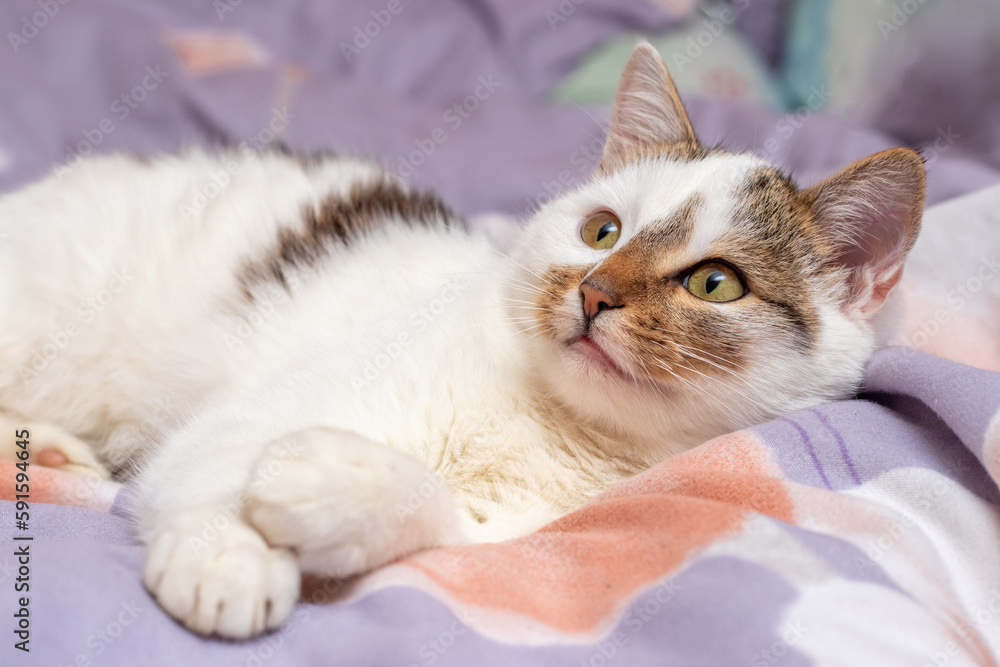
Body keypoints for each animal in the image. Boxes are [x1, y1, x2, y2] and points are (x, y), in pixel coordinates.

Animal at [0, 44, 920, 640]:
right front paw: (228, 554)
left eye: (715, 283)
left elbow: (449, 525)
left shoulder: (530, 534)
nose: (594, 292)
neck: (548, 420)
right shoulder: (238, 421)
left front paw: (327, 482)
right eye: (602, 231)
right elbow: (212, 465)